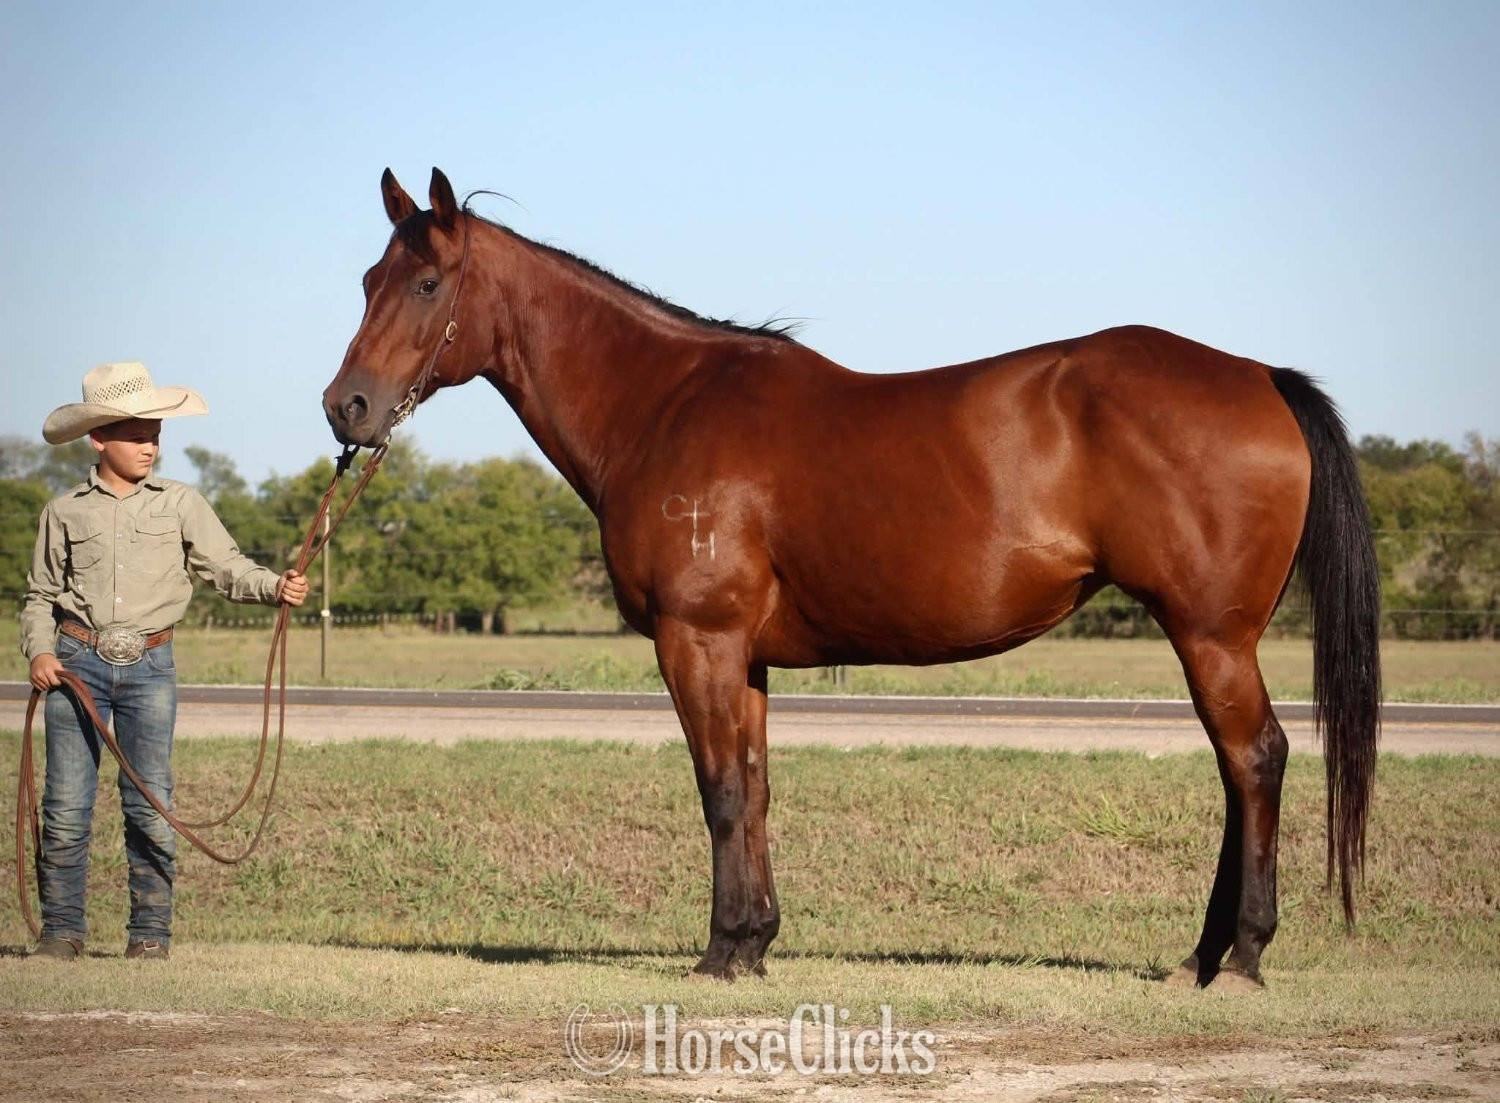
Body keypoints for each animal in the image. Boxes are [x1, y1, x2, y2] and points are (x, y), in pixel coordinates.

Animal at [322, 167, 1380, 989]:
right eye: (368, 277)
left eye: (427, 281)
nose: (347, 407)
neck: (663, 405)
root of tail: (1259, 375)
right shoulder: (742, 656)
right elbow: (753, 786)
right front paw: (753, 942)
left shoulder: (695, 640)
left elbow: (718, 791)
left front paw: (718, 953)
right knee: (1237, 769)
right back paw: (1201, 955)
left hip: (1210, 633)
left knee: (1255, 759)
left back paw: (1239, 957)